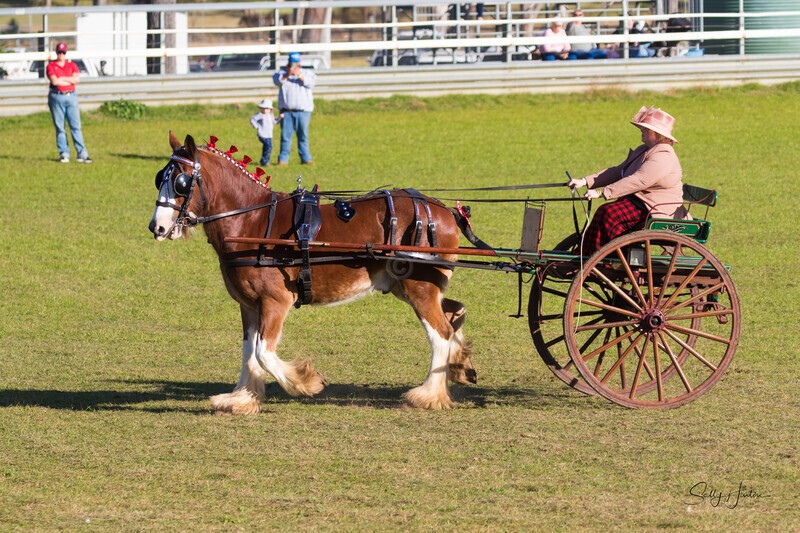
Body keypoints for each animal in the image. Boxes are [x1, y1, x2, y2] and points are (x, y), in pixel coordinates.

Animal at [148, 132, 476, 414]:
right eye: (159, 178)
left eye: (180, 182)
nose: (157, 227)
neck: (251, 221)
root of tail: (444, 210)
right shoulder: (249, 306)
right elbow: (248, 352)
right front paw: (243, 398)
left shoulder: (275, 302)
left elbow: (263, 353)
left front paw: (306, 381)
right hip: (410, 287)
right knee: (454, 312)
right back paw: (460, 364)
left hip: (419, 288)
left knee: (440, 333)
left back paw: (429, 394)